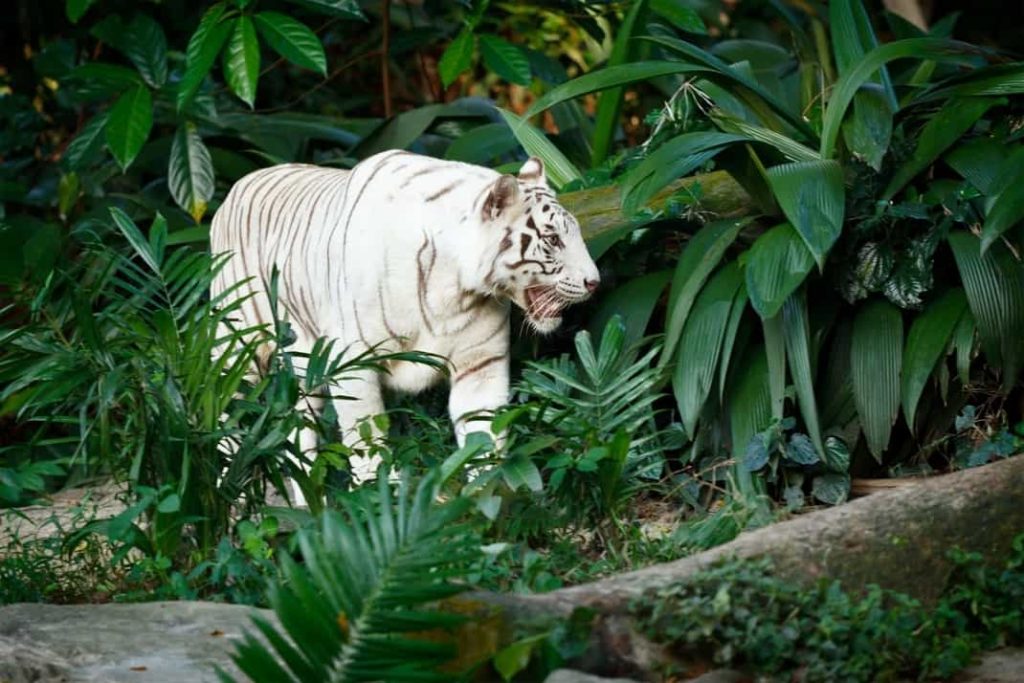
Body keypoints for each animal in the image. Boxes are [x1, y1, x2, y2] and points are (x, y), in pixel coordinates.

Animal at [212, 150, 602, 501]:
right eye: (553, 240)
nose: (595, 282)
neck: (456, 284)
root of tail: (237, 186)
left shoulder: (480, 365)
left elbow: (483, 432)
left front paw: (487, 496)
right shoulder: (354, 366)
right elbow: (367, 440)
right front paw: (377, 497)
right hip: (238, 351)